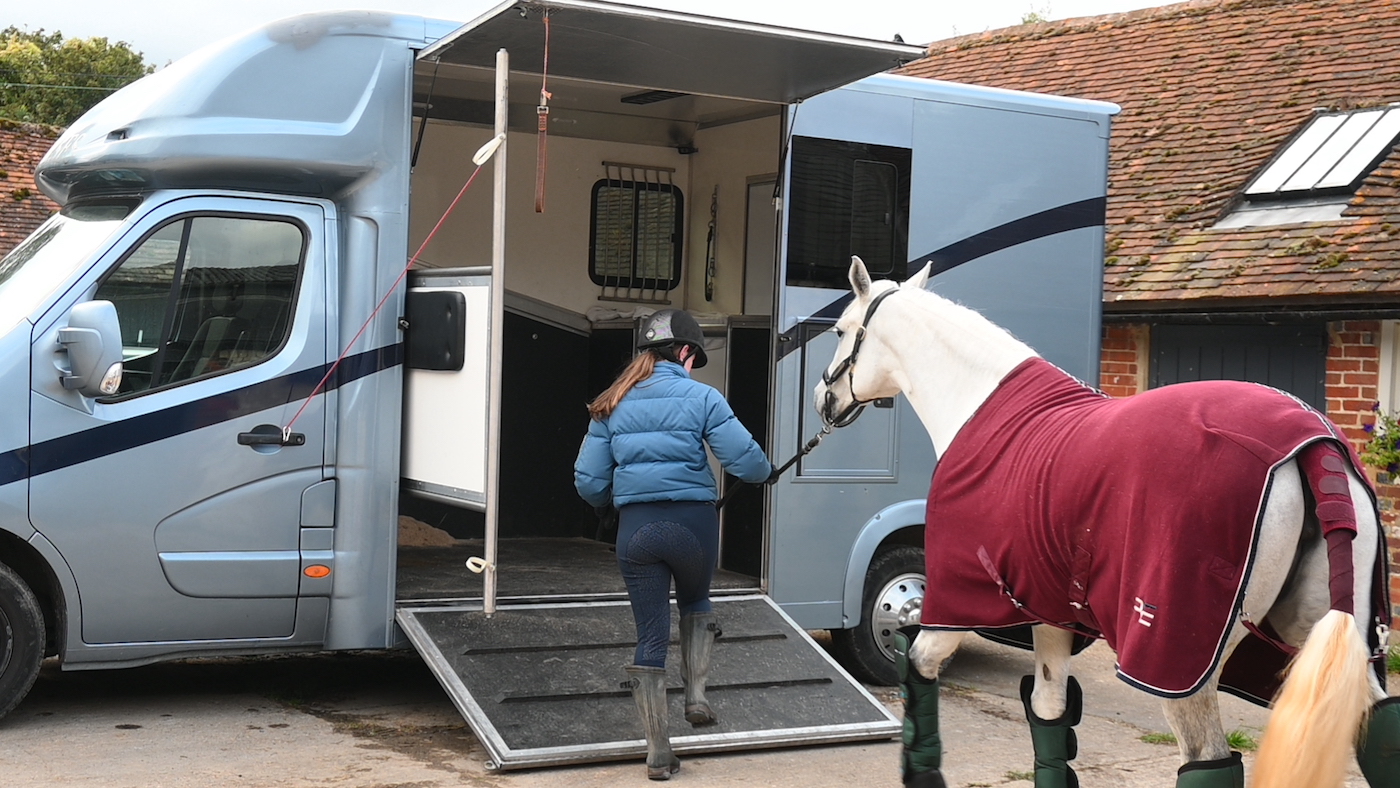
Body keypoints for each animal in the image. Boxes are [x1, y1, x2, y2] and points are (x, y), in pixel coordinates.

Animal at [813, 256, 1396, 788]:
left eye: (840, 330)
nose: (824, 398)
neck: (978, 406)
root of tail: (1313, 440)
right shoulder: (1049, 612)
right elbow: (1049, 714)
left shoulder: (955, 602)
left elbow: (918, 668)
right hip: (1329, 637)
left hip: (1180, 664)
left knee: (1207, 758)